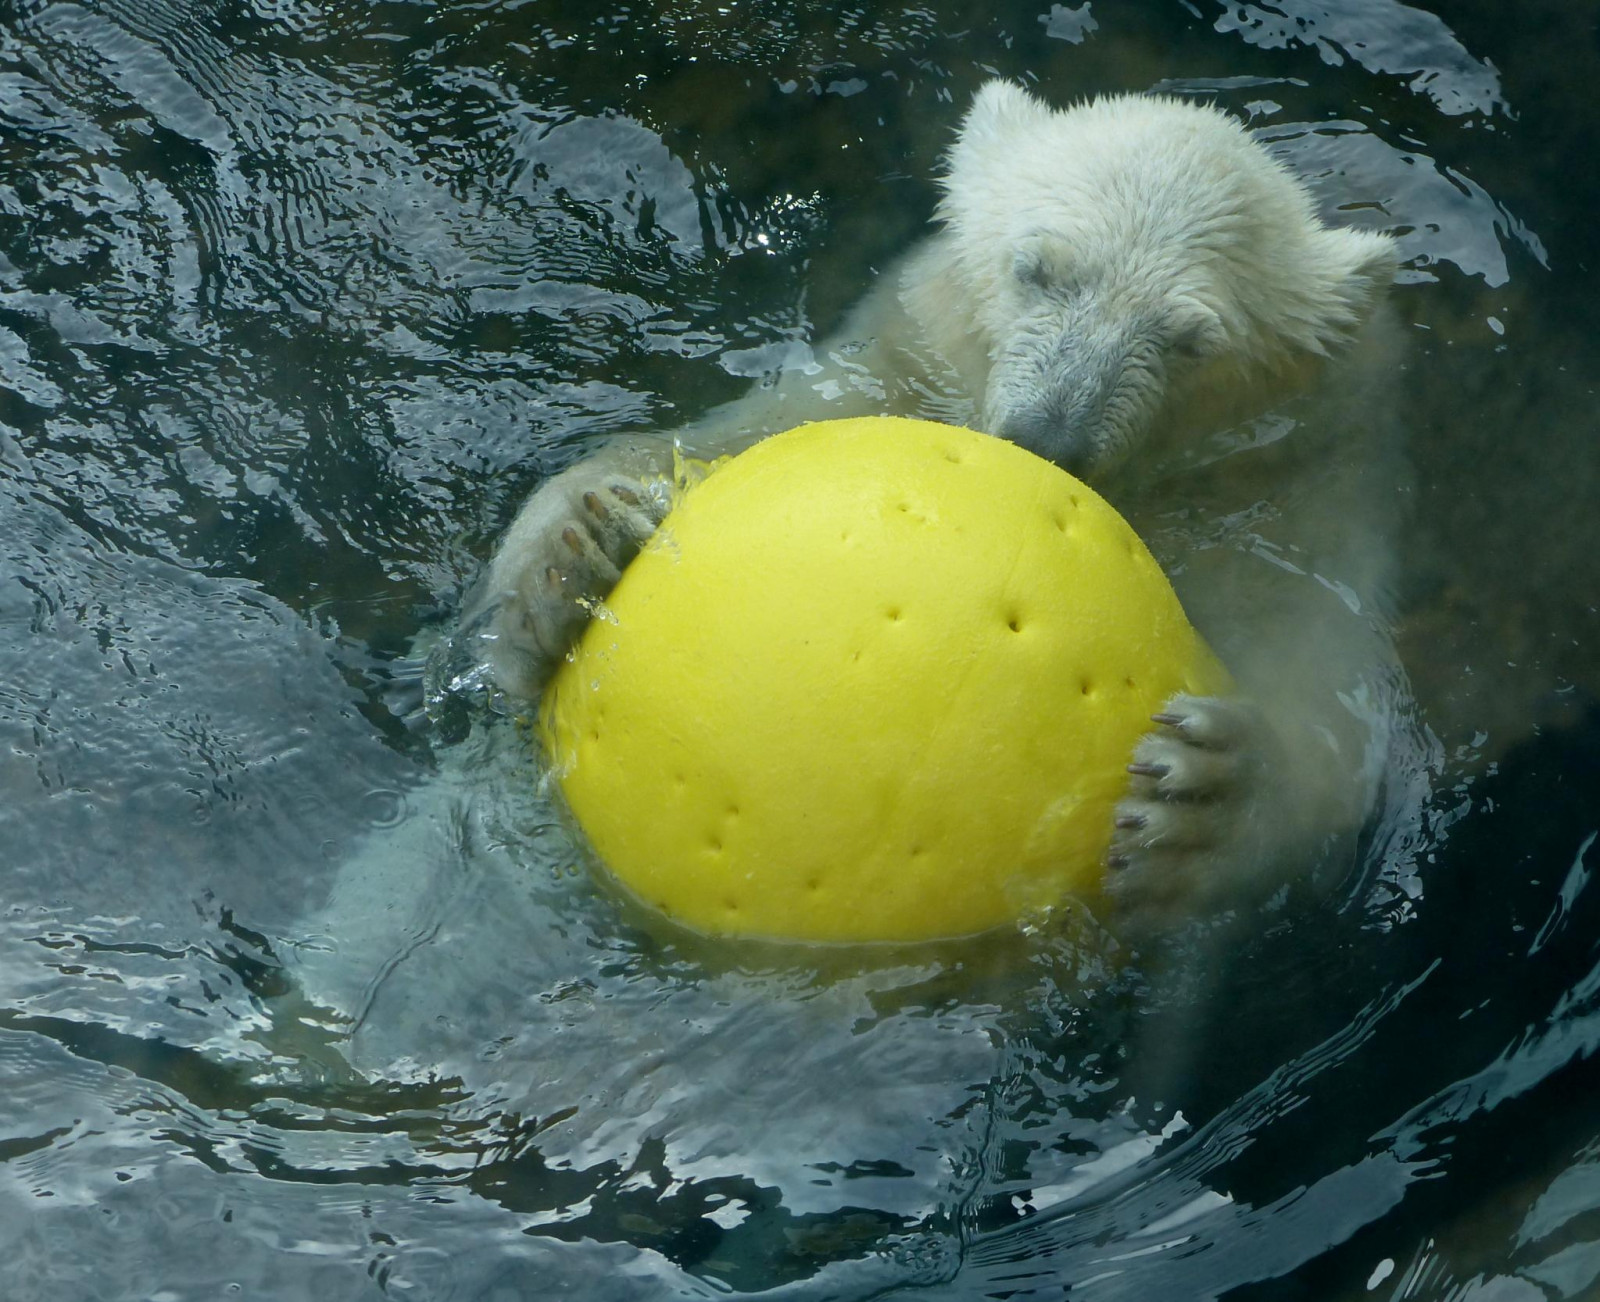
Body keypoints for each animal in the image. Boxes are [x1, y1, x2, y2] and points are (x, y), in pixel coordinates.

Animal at [447, 81, 1408, 931]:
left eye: (1191, 338)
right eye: (1036, 270)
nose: (1047, 435)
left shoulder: (1286, 498)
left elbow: (1332, 707)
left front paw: (1205, 800)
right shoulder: (895, 365)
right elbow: (733, 436)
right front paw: (572, 554)